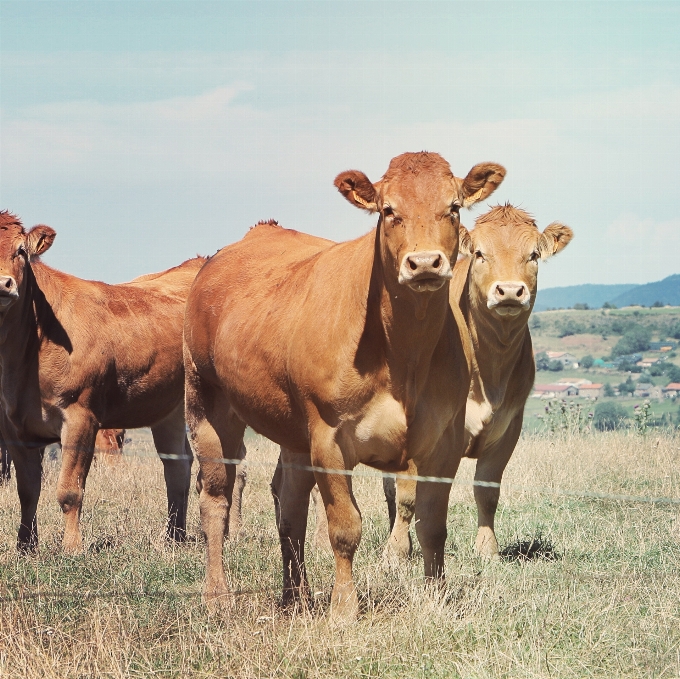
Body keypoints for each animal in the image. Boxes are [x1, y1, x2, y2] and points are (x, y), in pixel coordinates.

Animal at [0, 211, 205, 552]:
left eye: (21, 251)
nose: (4, 285)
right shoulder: (14, 424)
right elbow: (27, 491)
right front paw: (25, 547)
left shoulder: (81, 415)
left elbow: (69, 489)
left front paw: (72, 547)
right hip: (170, 409)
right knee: (178, 464)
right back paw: (174, 537)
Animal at [183, 153, 502, 616]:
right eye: (388, 211)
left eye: (454, 207)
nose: (425, 263)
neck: (403, 357)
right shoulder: (329, 438)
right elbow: (345, 527)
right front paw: (344, 608)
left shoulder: (443, 443)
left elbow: (433, 526)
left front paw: (437, 597)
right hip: (206, 401)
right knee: (215, 498)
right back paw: (217, 596)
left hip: (292, 431)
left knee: (290, 504)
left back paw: (296, 594)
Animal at [386, 203, 572, 564]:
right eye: (480, 254)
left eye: (533, 255)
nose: (510, 291)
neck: (489, 368)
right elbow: (408, 495)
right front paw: (396, 553)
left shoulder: (509, 427)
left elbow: (487, 492)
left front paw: (488, 550)